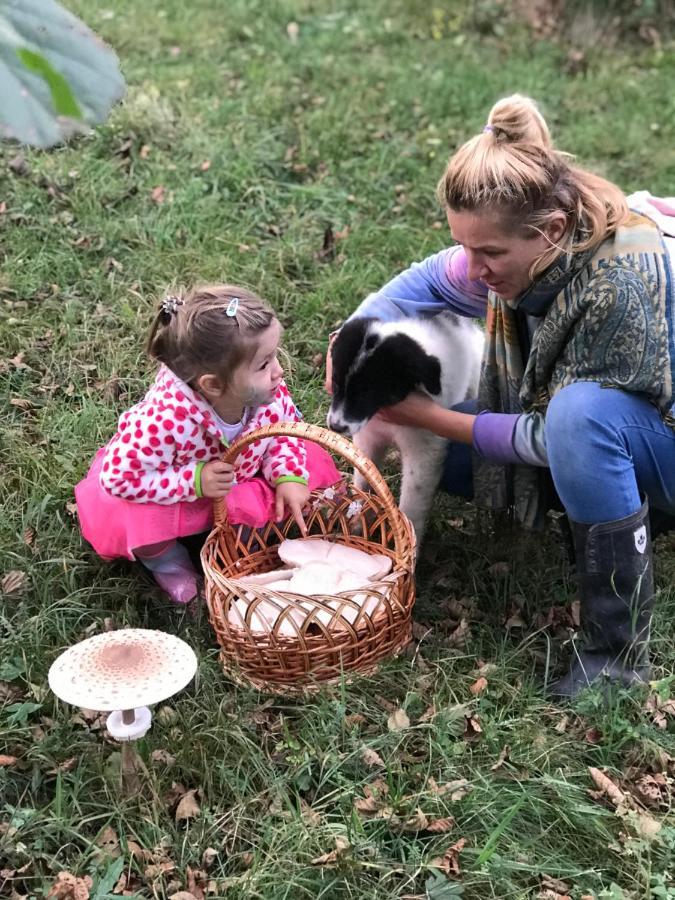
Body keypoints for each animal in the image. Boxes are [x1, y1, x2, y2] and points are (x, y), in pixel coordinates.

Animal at [328, 312, 484, 544]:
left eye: (366, 393)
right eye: (336, 383)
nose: (335, 426)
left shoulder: (424, 453)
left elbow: (411, 507)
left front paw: (409, 546)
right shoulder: (369, 437)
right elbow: (364, 479)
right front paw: (358, 522)